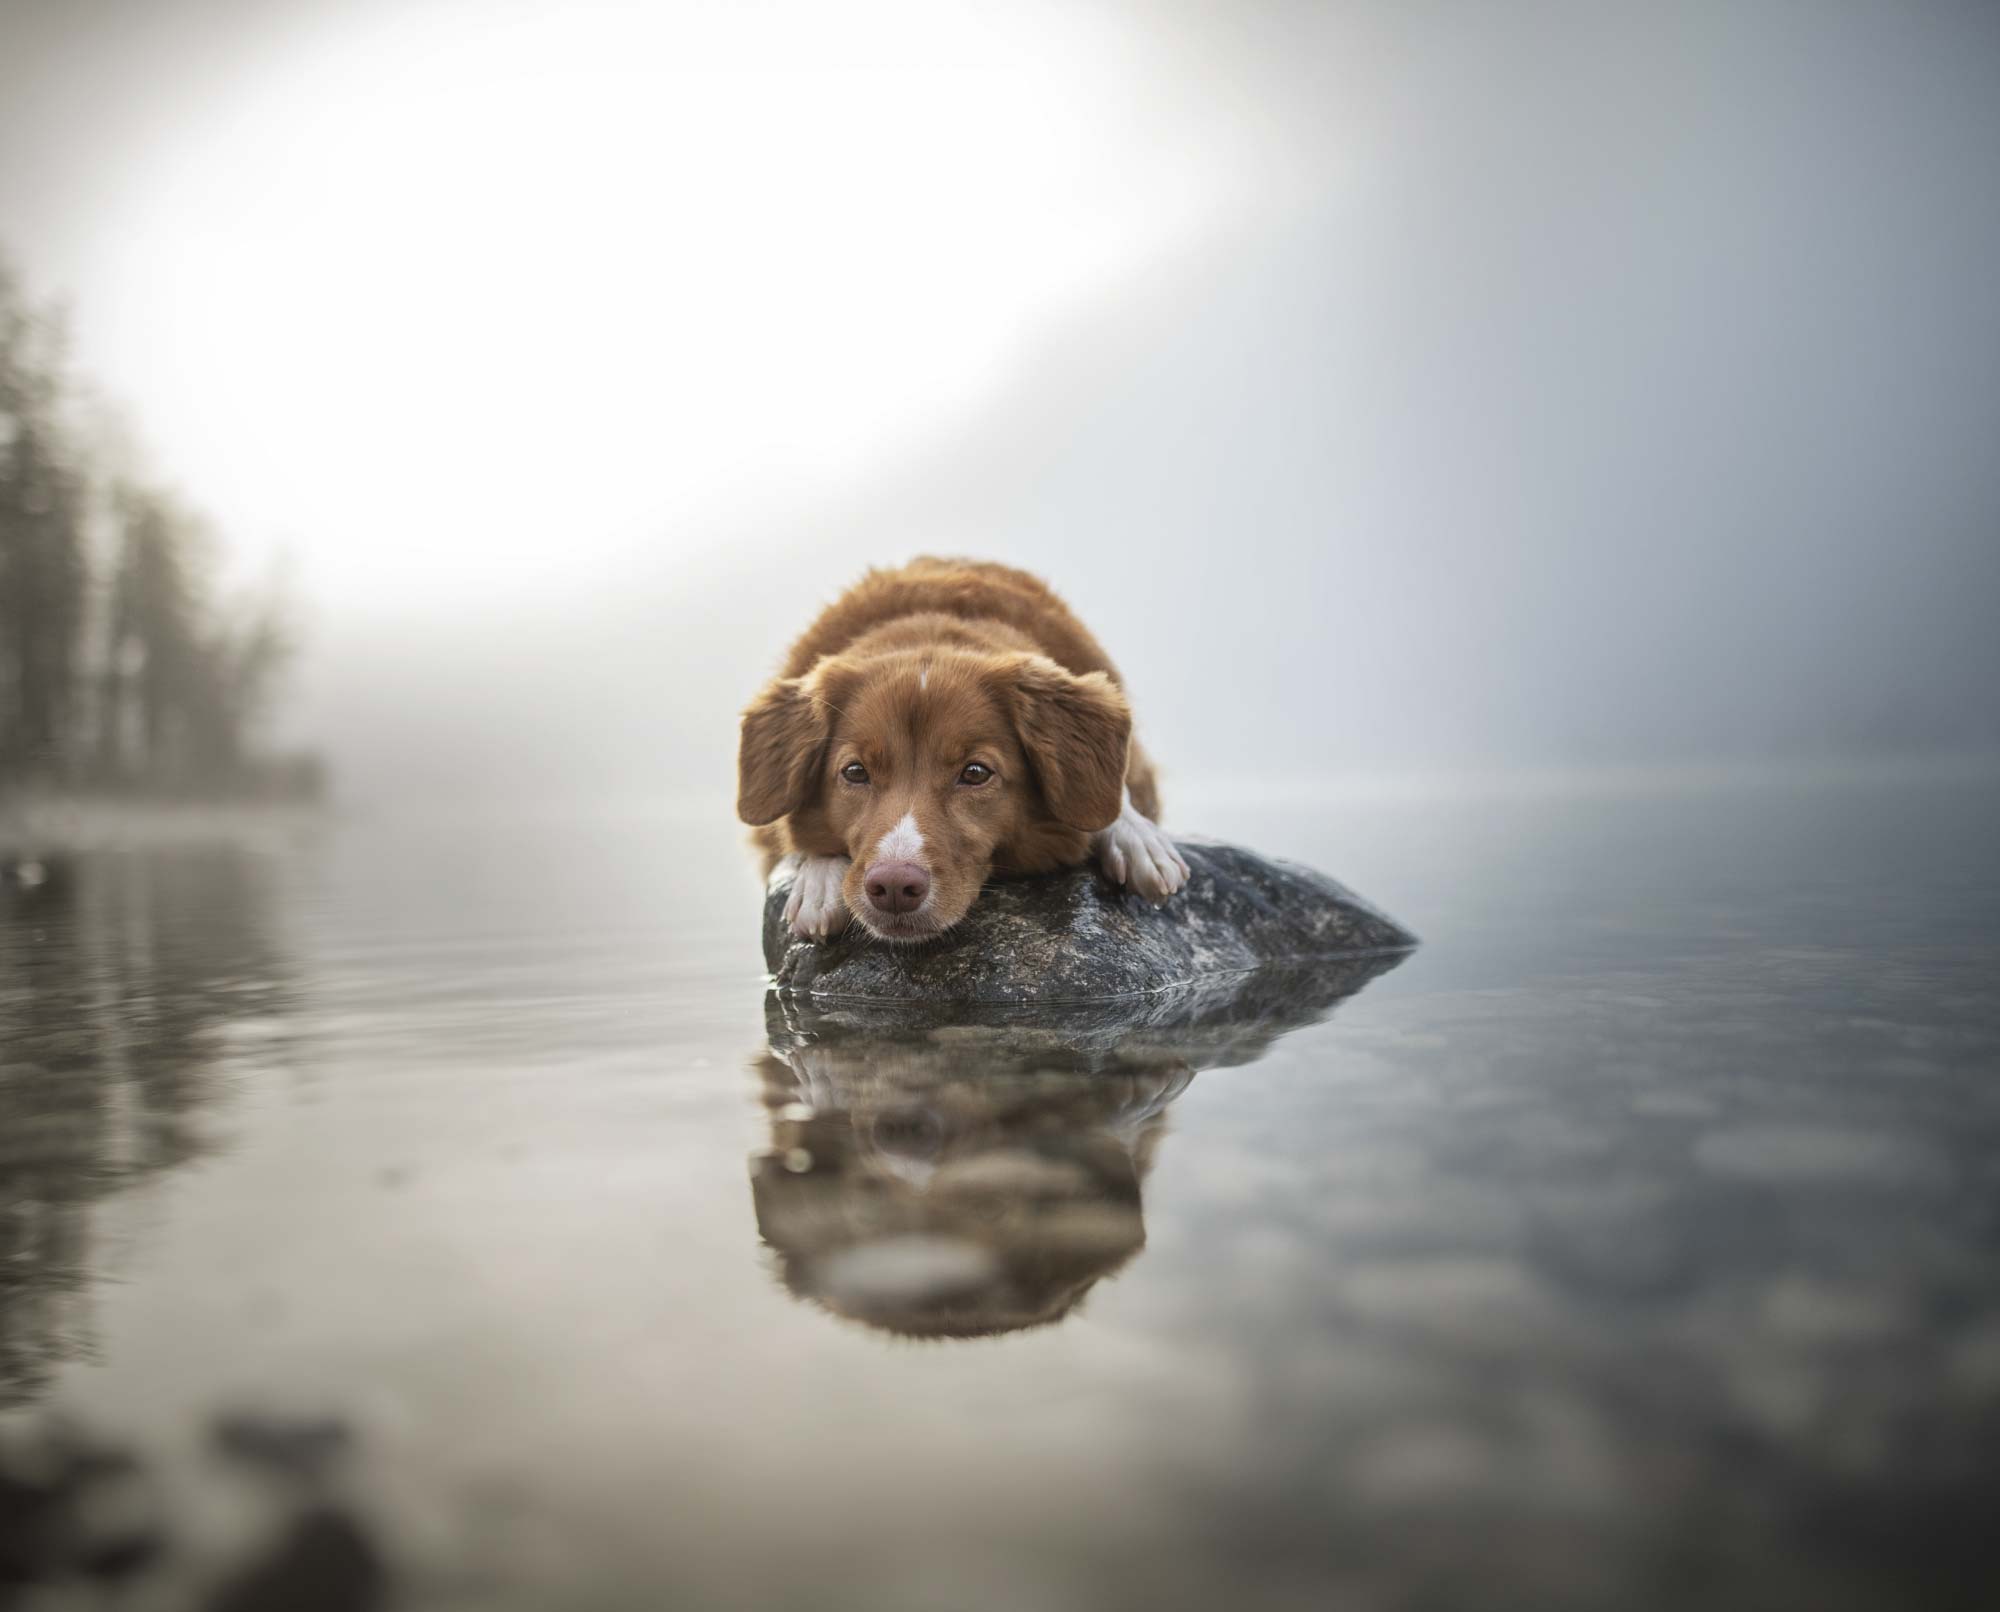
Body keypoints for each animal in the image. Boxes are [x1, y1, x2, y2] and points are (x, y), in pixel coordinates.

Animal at [748, 560, 1184, 948]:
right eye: (855, 772)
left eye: (975, 773)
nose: (893, 886)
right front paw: (819, 880)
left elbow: (1112, 798)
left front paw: (1137, 837)